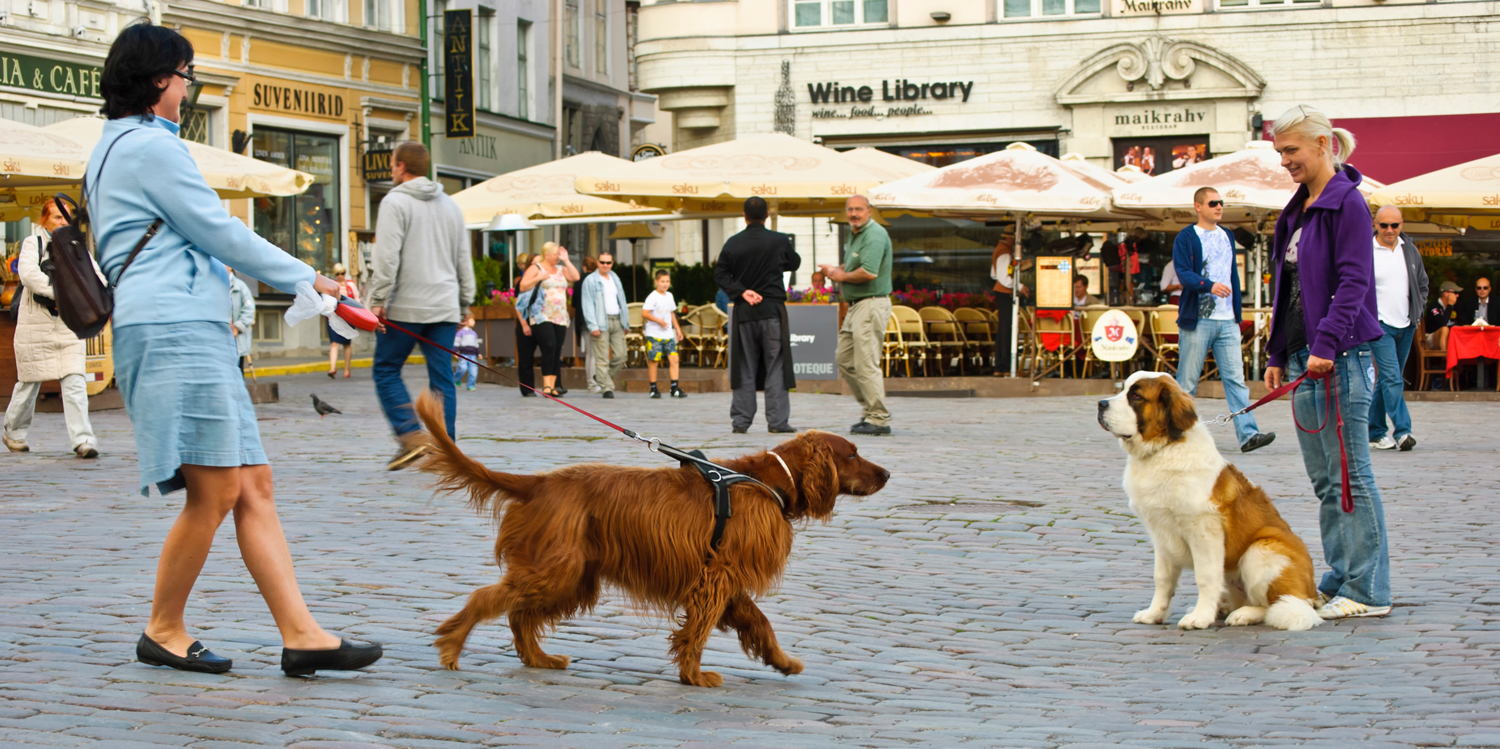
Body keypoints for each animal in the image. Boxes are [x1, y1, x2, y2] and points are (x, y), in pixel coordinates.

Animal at [414, 396, 888, 687]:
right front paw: (694, 676)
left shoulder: (725, 579)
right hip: (556, 570)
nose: (886, 473)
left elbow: (760, 623)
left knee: (518, 614)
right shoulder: (716, 577)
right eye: (852, 454)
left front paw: (782, 661)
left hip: (573, 576)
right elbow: (699, 630)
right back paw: (452, 647)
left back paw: (539, 658)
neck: (769, 481)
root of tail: (539, 483)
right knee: (490, 599)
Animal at [1098, 372, 1320, 630]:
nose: (1100, 404)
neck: (1165, 448)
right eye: (1122, 389)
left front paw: (1200, 618)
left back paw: (1243, 614)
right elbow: (1162, 578)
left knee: (1275, 604)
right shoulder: (1161, 533)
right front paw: (1154, 614)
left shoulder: (1203, 530)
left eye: (1136, 396)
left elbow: (1205, 576)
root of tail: (1312, 595)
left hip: (1261, 550)